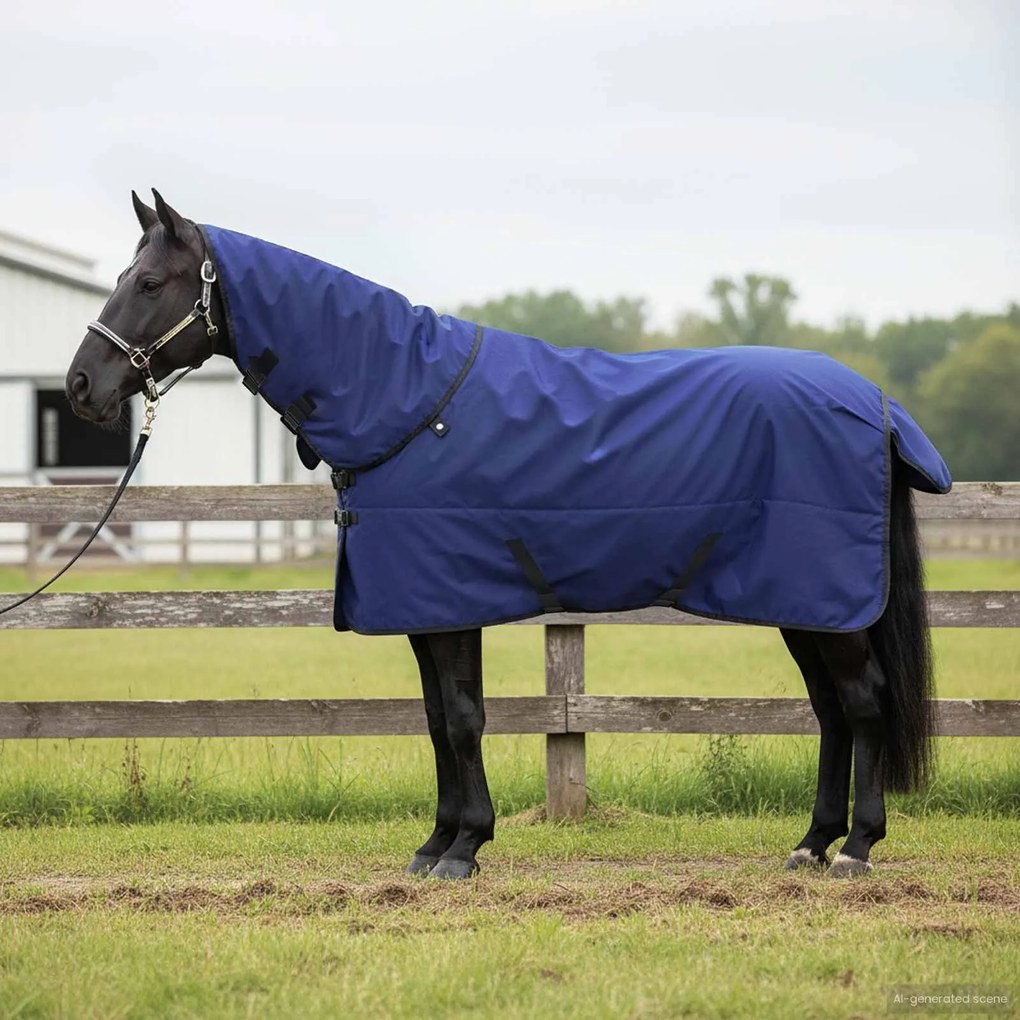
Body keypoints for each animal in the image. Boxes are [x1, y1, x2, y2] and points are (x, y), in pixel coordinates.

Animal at [65, 190, 951, 880]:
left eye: (149, 282)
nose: (80, 386)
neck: (408, 402)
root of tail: (876, 404)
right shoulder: (424, 609)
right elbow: (436, 720)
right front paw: (436, 845)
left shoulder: (450, 603)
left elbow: (462, 719)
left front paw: (464, 850)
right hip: (807, 605)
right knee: (831, 711)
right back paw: (810, 844)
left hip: (825, 602)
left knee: (863, 704)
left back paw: (856, 848)